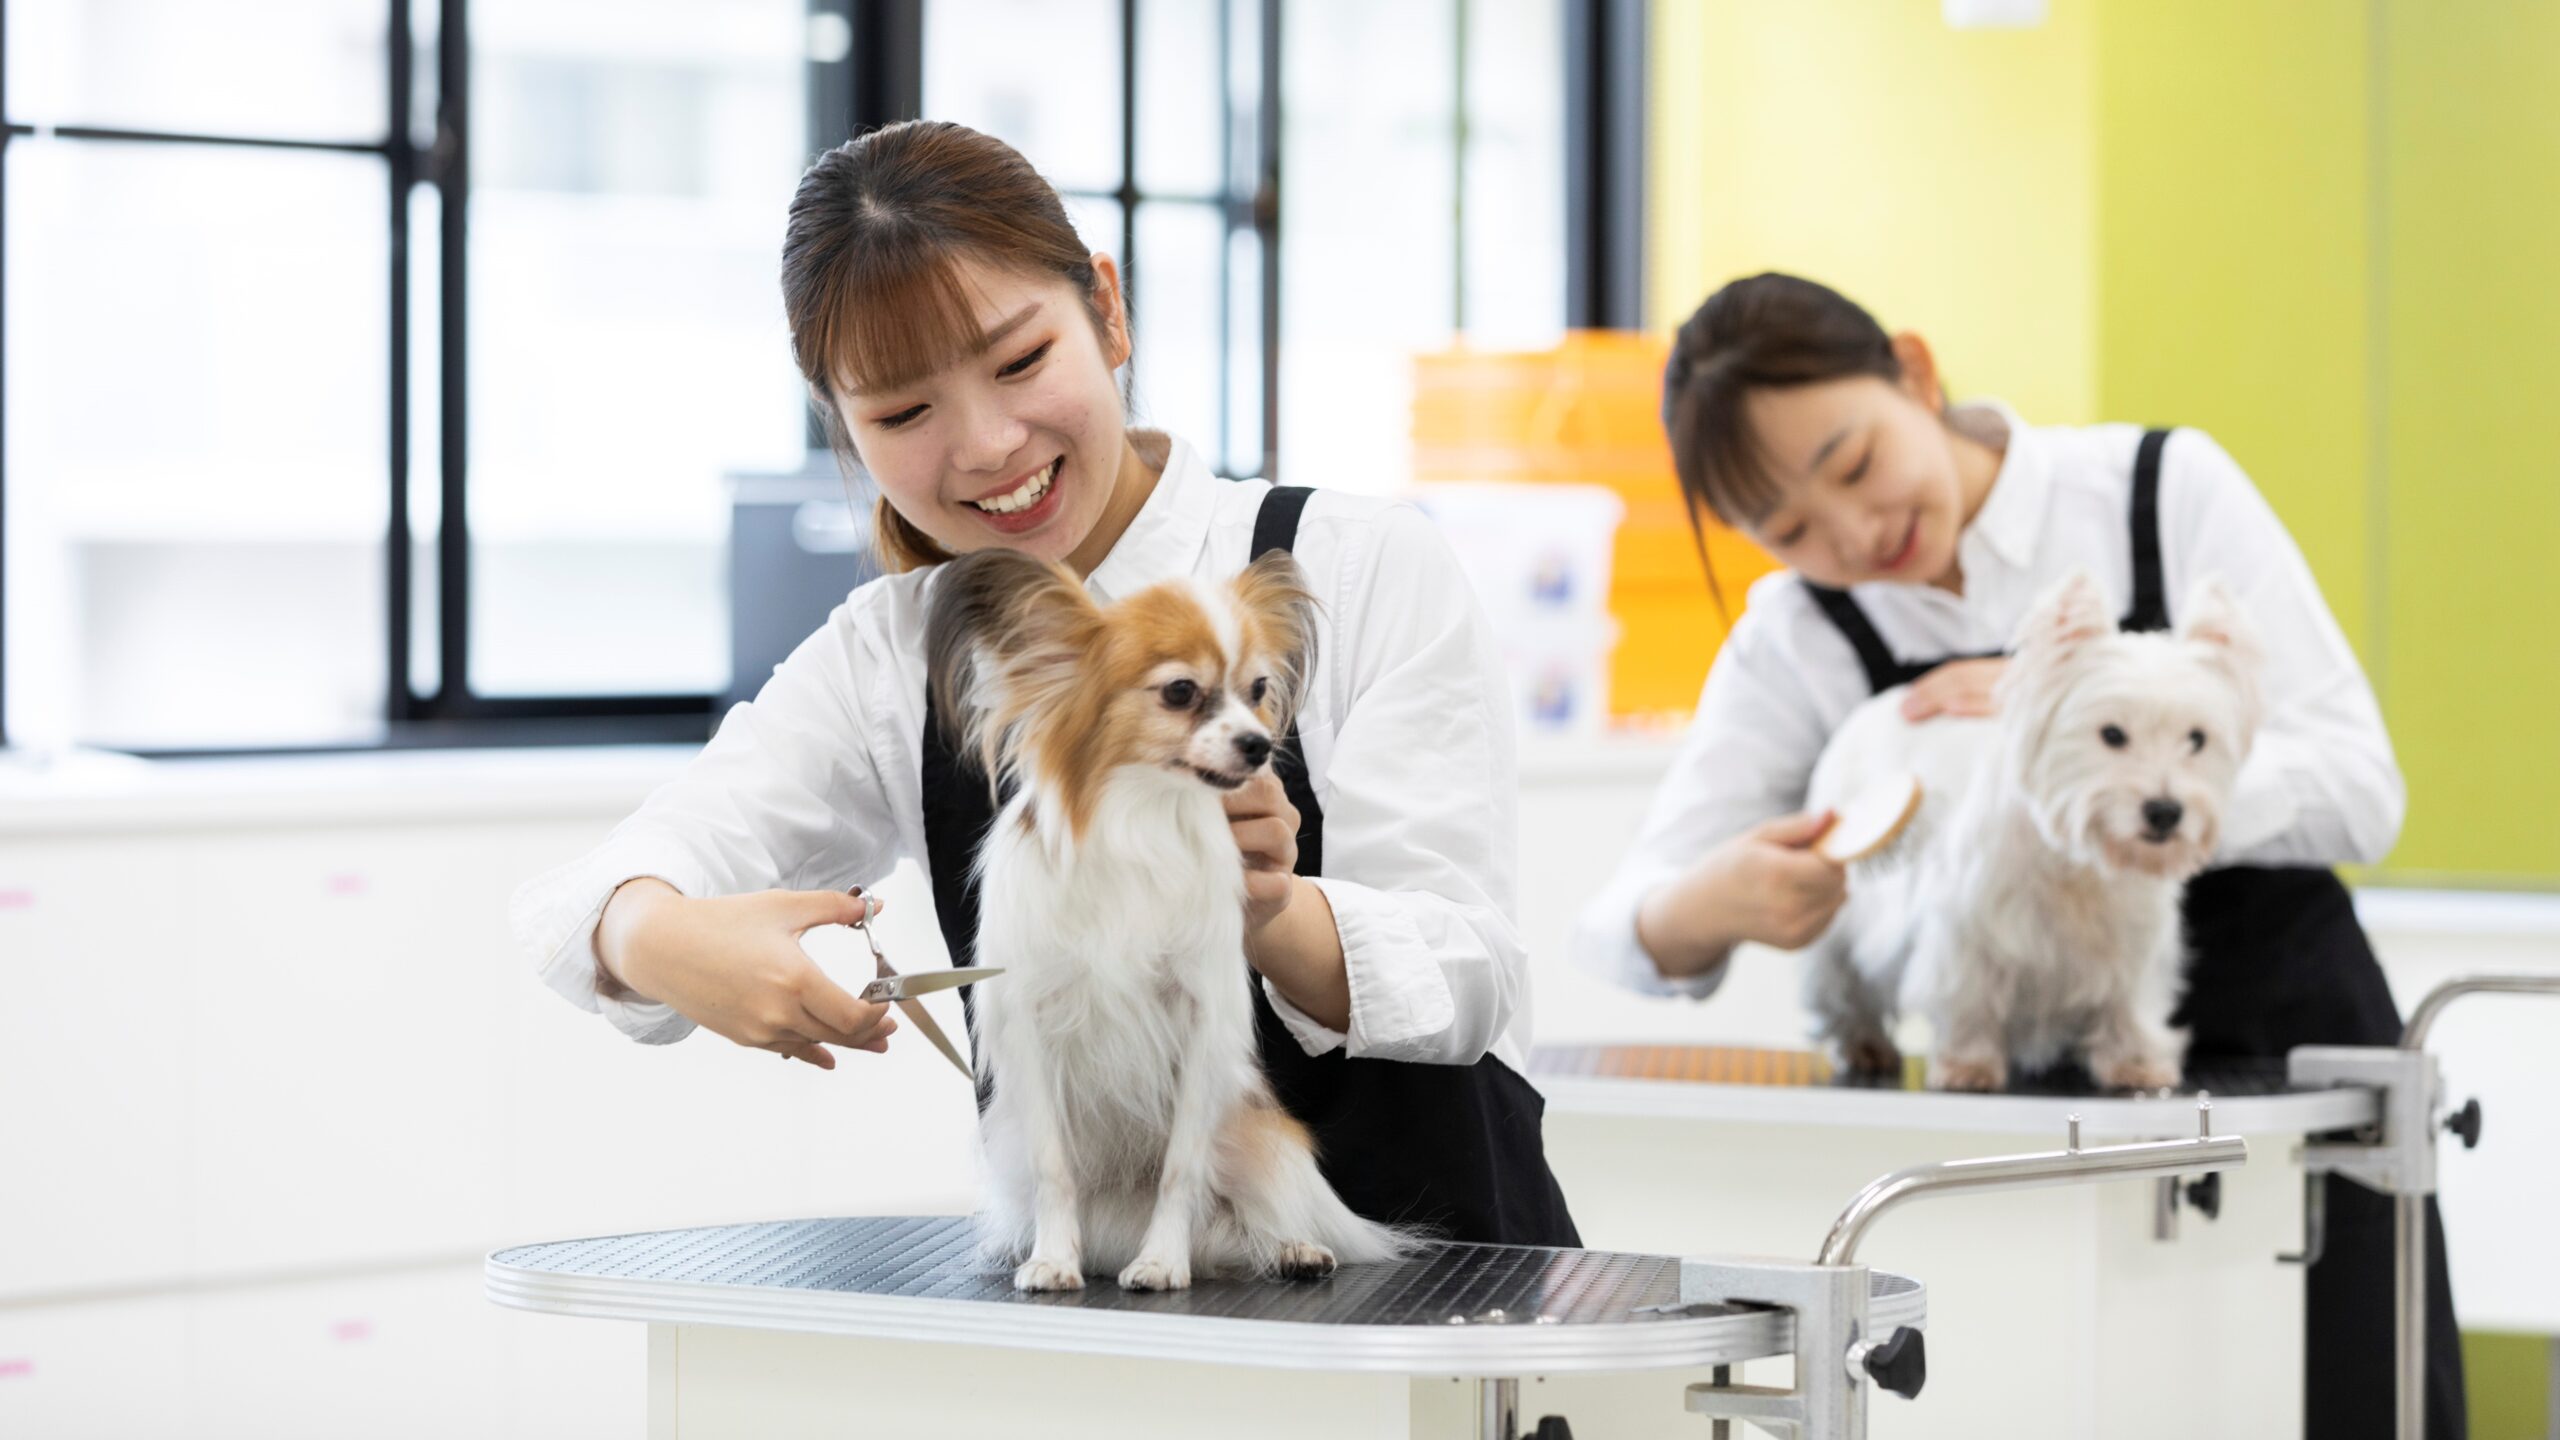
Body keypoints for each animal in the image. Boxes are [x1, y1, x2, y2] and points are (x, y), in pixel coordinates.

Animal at [925, 546, 1413, 1292]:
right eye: (1181, 692)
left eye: (1259, 688)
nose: (1259, 745)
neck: (1141, 818)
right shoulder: (1034, 1033)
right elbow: (1054, 1168)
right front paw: (1053, 1260)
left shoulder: (1198, 1026)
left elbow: (1182, 1169)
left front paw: (1160, 1261)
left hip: (1259, 1139)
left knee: (1255, 1213)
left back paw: (1293, 1248)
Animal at [1801, 570, 2262, 1092]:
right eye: (2112, 734)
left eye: (2197, 739)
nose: (2165, 811)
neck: (2076, 864)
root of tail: (1878, 705)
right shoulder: (1966, 929)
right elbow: (1968, 998)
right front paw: (1968, 1066)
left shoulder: (2132, 941)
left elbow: (2128, 1002)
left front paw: (2136, 1062)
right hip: (1844, 906)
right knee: (1842, 986)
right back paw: (1865, 1045)